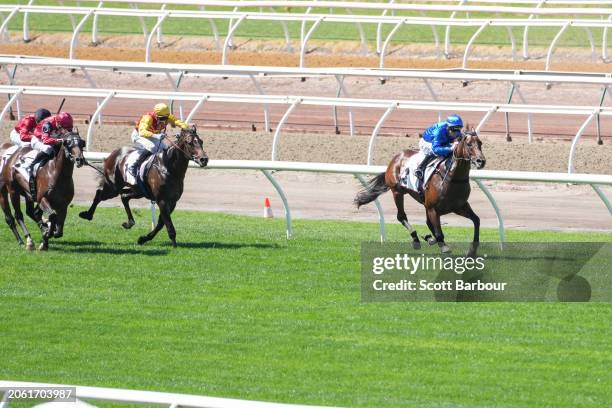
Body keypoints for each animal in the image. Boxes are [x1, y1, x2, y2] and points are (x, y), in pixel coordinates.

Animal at [77, 125, 208, 245]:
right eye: (190, 143)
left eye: (201, 141)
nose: (204, 159)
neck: (169, 168)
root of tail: (112, 154)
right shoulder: (162, 200)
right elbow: (167, 223)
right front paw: (174, 245)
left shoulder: (172, 201)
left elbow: (161, 223)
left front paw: (143, 238)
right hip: (113, 187)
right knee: (99, 194)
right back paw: (87, 215)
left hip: (138, 191)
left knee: (124, 197)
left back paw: (129, 223)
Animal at [356, 128, 486, 255]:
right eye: (469, 144)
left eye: (480, 143)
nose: (481, 161)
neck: (452, 177)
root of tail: (396, 158)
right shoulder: (433, 208)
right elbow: (439, 232)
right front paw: (444, 246)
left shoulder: (459, 206)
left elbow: (477, 220)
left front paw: (472, 250)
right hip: (397, 192)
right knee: (401, 216)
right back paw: (415, 239)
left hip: (424, 202)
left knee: (427, 222)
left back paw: (429, 239)